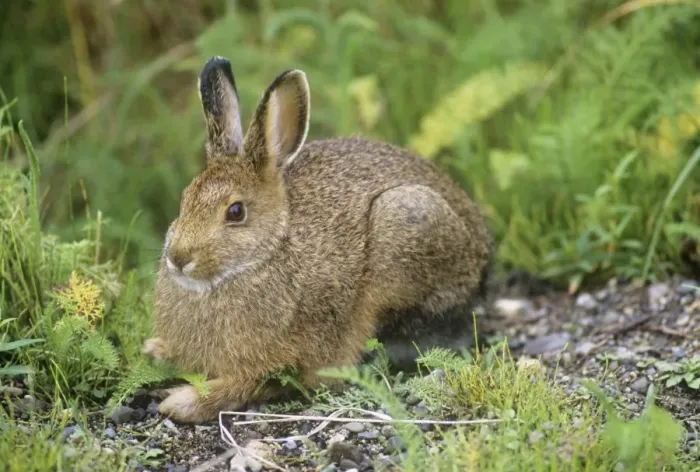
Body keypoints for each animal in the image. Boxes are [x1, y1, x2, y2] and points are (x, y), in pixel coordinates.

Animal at [142, 56, 493, 423]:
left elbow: (251, 384)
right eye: (185, 199)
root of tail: (483, 262)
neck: (266, 252)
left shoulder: (288, 358)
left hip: (406, 226)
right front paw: (157, 350)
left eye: (235, 212)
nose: (178, 258)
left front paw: (185, 401)